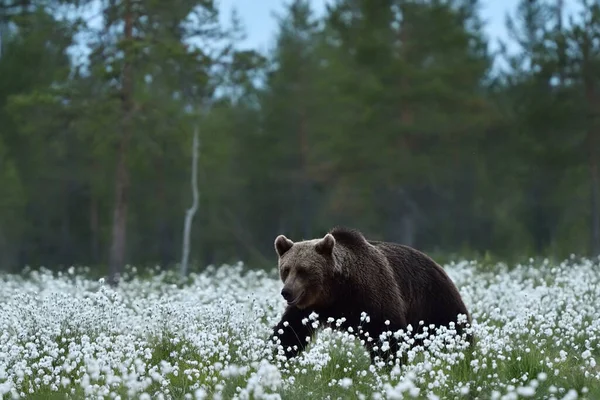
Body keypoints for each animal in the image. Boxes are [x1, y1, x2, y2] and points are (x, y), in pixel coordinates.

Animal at [270, 227, 474, 364]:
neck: (335, 292)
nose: (287, 292)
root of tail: (438, 265)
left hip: (434, 301)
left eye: (303, 270)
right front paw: (275, 357)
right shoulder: (308, 308)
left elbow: (386, 332)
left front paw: (390, 364)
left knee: (453, 328)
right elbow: (289, 331)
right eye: (286, 269)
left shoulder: (372, 294)